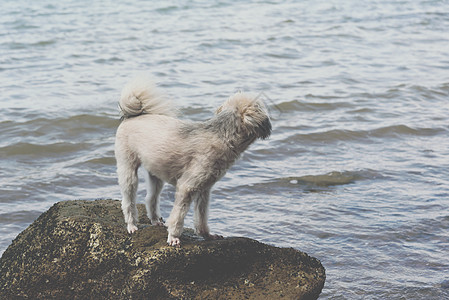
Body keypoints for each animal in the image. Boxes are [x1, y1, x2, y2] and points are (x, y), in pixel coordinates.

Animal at [114, 77, 270, 246]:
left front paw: (206, 235)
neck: (222, 135)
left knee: (151, 198)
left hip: (155, 172)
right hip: (128, 169)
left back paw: (155, 220)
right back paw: (131, 225)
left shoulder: (204, 189)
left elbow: (201, 217)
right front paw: (173, 237)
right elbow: (178, 216)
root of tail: (132, 116)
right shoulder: (187, 187)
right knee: (128, 201)